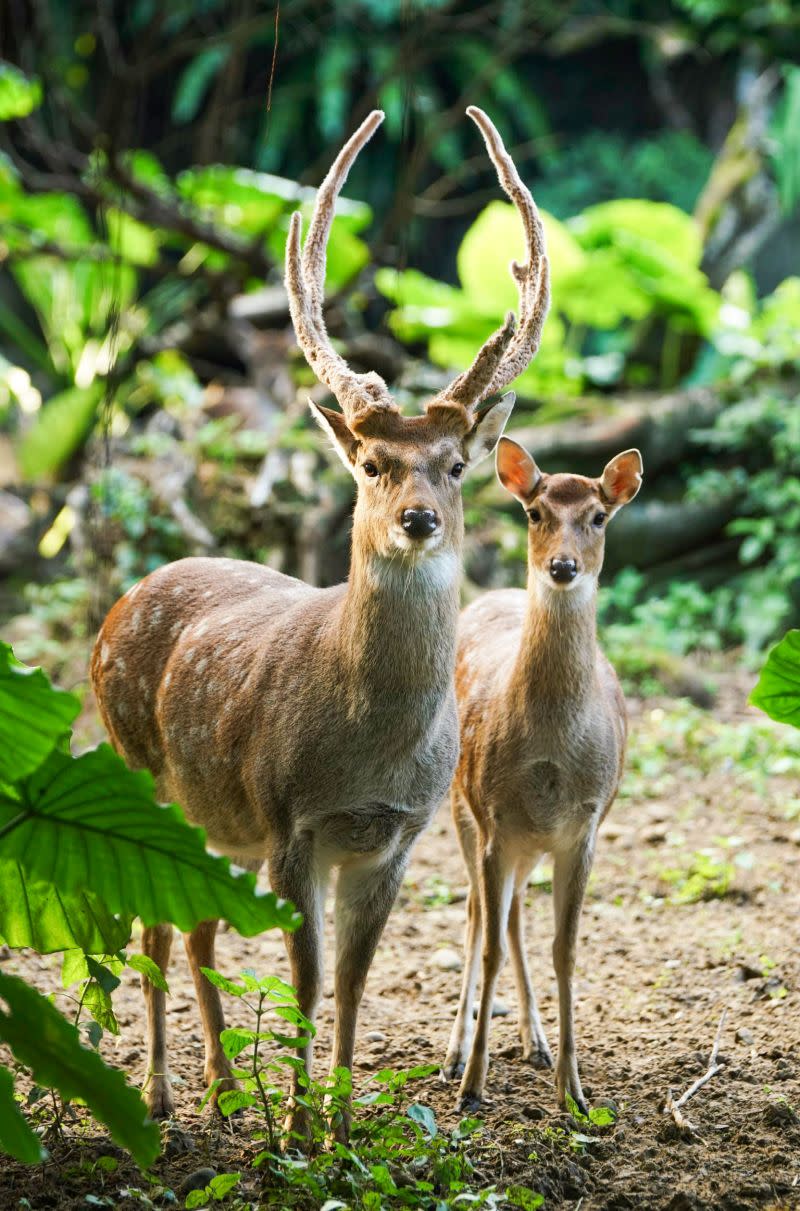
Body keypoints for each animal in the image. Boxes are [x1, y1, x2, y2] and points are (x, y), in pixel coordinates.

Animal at [88, 108, 549, 1138]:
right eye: (373, 464)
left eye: (455, 465)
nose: (417, 519)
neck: (365, 747)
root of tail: (124, 601)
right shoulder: (290, 818)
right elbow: (301, 980)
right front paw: (298, 1130)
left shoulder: (396, 835)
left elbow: (350, 982)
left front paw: (338, 1124)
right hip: (139, 769)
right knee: (155, 927)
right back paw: (161, 1094)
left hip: (213, 814)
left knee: (198, 925)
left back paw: (222, 1085)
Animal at [440, 440, 639, 1109]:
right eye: (534, 512)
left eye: (599, 517)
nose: (563, 566)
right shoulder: (495, 819)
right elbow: (491, 947)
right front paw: (471, 1086)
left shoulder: (584, 828)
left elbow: (566, 950)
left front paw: (574, 1091)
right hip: (462, 809)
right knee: (478, 914)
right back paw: (454, 1054)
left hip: (530, 844)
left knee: (515, 913)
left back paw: (536, 1041)